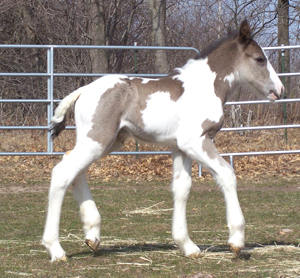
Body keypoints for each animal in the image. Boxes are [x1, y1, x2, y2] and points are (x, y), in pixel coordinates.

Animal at [42, 20, 284, 262]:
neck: (205, 87)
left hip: (107, 142)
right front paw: (236, 240)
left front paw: (187, 245)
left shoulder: (180, 148)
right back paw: (56, 248)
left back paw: (92, 235)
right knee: (63, 173)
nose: (280, 90)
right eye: (260, 59)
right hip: (98, 140)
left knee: (74, 168)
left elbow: (181, 187)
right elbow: (227, 174)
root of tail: (83, 90)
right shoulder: (196, 142)